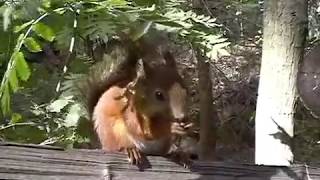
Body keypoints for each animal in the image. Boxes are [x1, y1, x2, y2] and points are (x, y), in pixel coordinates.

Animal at [84, 34, 195, 167]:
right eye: (158, 95)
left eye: (186, 90)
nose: (182, 117)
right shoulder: (131, 110)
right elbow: (143, 130)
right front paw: (171, 127)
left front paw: (189, 126)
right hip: (115, 132)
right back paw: (131, 150)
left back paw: (178, 154)